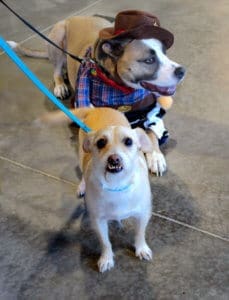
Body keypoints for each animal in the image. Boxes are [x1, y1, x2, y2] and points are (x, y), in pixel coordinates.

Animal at [8, 9, 185, 176]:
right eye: (149, 60)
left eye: (165, 54)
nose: (182, 71)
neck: (122, 90)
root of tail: (75, 17)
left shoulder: (149, 112)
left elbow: (152, 132)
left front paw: (155, 155)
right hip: (57, 37)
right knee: (56, 70)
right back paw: (60, 85)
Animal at [41, 107, 154, 272]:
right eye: (101, 142)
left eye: (128, 141)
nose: (114, 159)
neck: (116, 185)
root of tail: (97, 108)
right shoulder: (98, 221)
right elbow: (105, 242)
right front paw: (106, 258)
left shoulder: (143, 215)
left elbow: (140, 233)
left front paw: (141, 249)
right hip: (81, 154)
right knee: (82, 170)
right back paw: (82, 186)